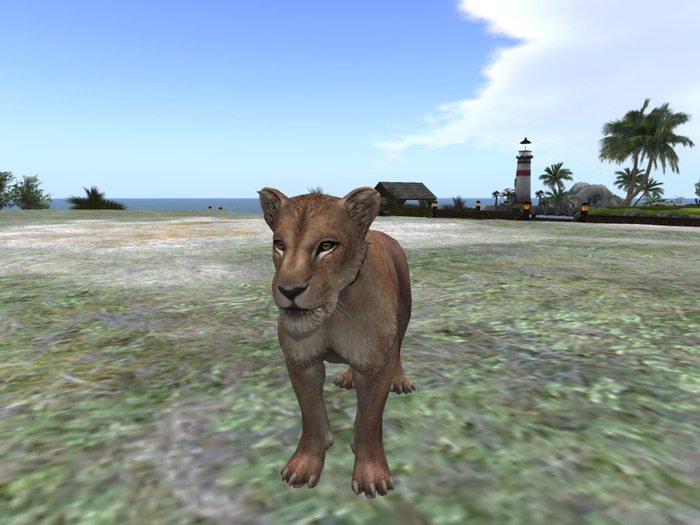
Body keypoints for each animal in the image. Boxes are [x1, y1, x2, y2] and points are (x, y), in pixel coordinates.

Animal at [257, 186, 414, 499]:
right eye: (279, 244)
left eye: (327, 246)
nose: (289, 290)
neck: (335, 310)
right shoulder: (302, 363)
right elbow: (311, 415)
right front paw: (304, 465)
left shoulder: (375, 366)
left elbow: (368, 422)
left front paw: (371, 475)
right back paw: (348, 377)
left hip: (405, 310)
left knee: (399, 347)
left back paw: (400, 380)